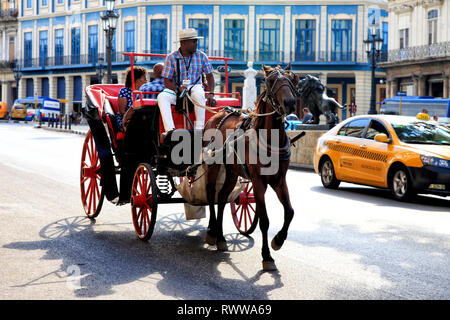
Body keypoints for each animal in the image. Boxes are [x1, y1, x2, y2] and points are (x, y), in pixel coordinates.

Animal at [204, 64, 298, 270]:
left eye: (292, 79)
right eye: (271, 81)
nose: (290, 102)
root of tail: (220, 113)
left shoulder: (280, 180)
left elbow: (289, 212)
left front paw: (278, 240)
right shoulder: (258, 182)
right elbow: (264, 220)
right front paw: (267, 256)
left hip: (231, 171)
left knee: (222, 197)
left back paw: (221, 238)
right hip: (213, 165)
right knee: (211, 193)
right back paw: (212, 231)